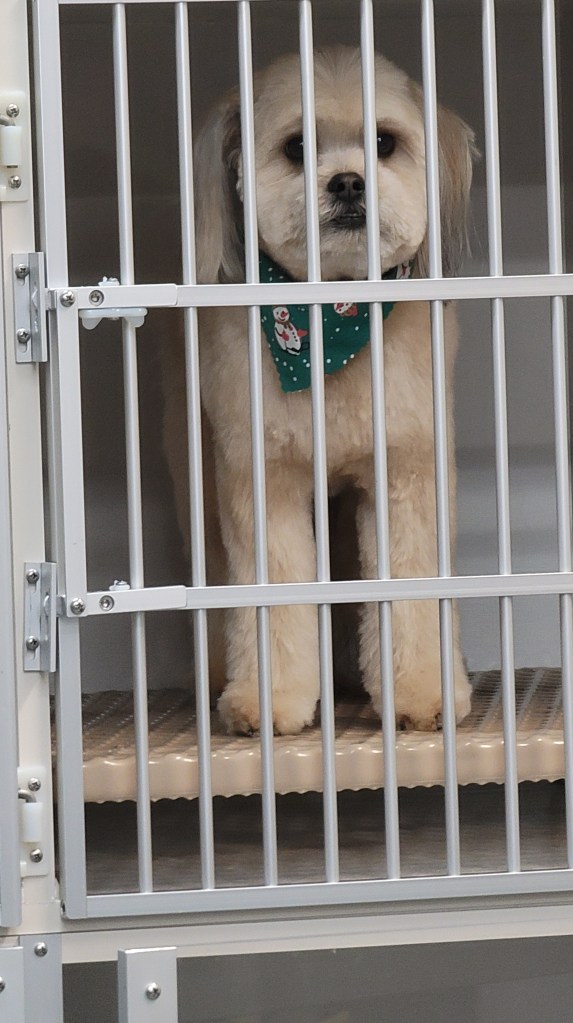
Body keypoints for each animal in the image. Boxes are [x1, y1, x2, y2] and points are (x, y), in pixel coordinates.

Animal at [162, 46, 475, 735]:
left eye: (384, 143)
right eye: (297, 147)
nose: (349, 182)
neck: (330, 317)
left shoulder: (406, 470)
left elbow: (409, 584)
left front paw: (423, 691)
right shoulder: (261, 478)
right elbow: (274, 592)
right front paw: (271, 699)